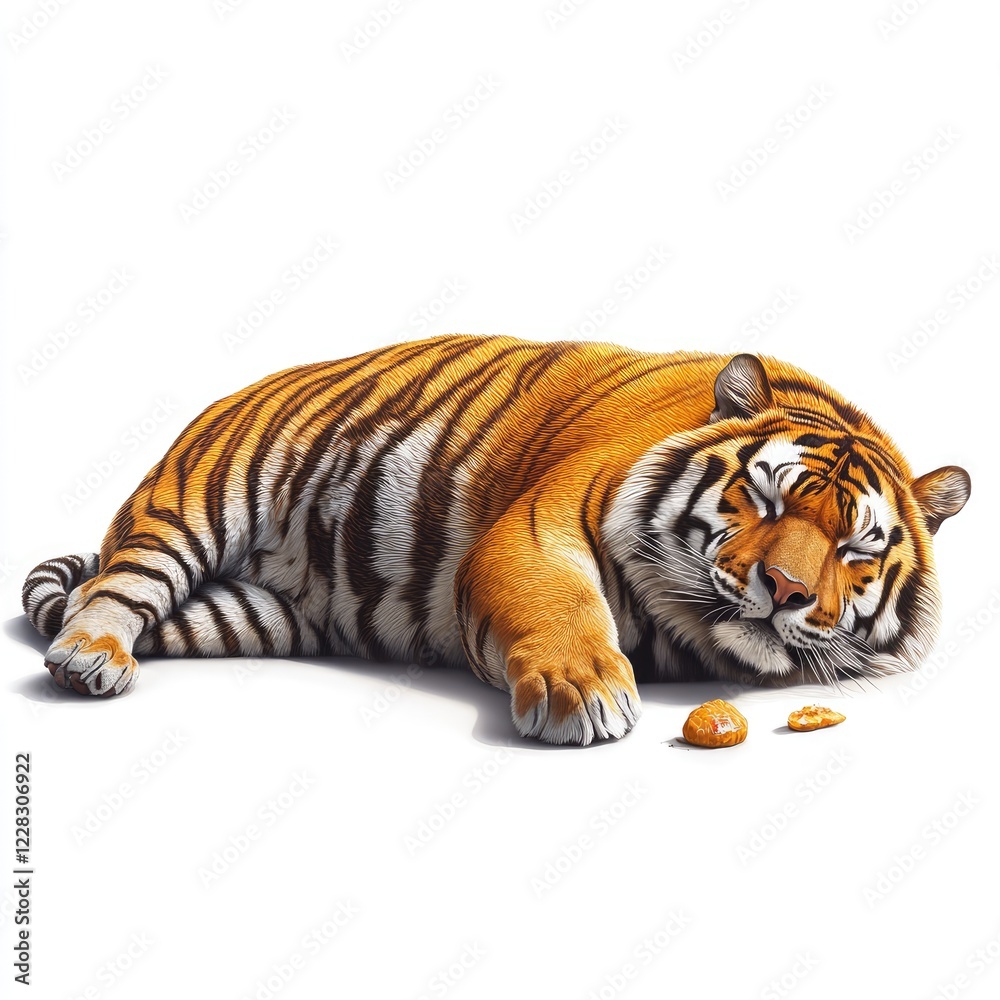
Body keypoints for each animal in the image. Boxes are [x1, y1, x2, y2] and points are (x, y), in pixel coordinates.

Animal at [22, 334, 970, 745]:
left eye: (856, 550)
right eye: (766, 500)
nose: (788, 591)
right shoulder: (538, 526)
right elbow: (558, 604)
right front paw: (582, 693)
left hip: (256, 615)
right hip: (195, 498)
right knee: (117, 586)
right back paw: (91, 659)